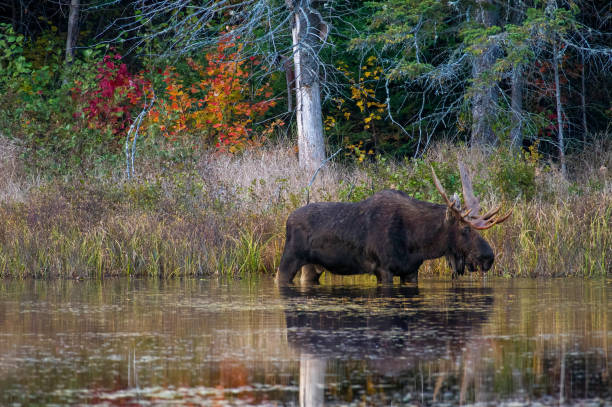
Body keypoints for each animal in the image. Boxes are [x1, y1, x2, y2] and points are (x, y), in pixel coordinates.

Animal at [278, 161, 512, 286]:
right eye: (464, 229)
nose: (488, 257)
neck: (418, 242)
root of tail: (287, 220)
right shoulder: (383, 269)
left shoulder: (410, 271)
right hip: (289, 259)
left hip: (311, 267)